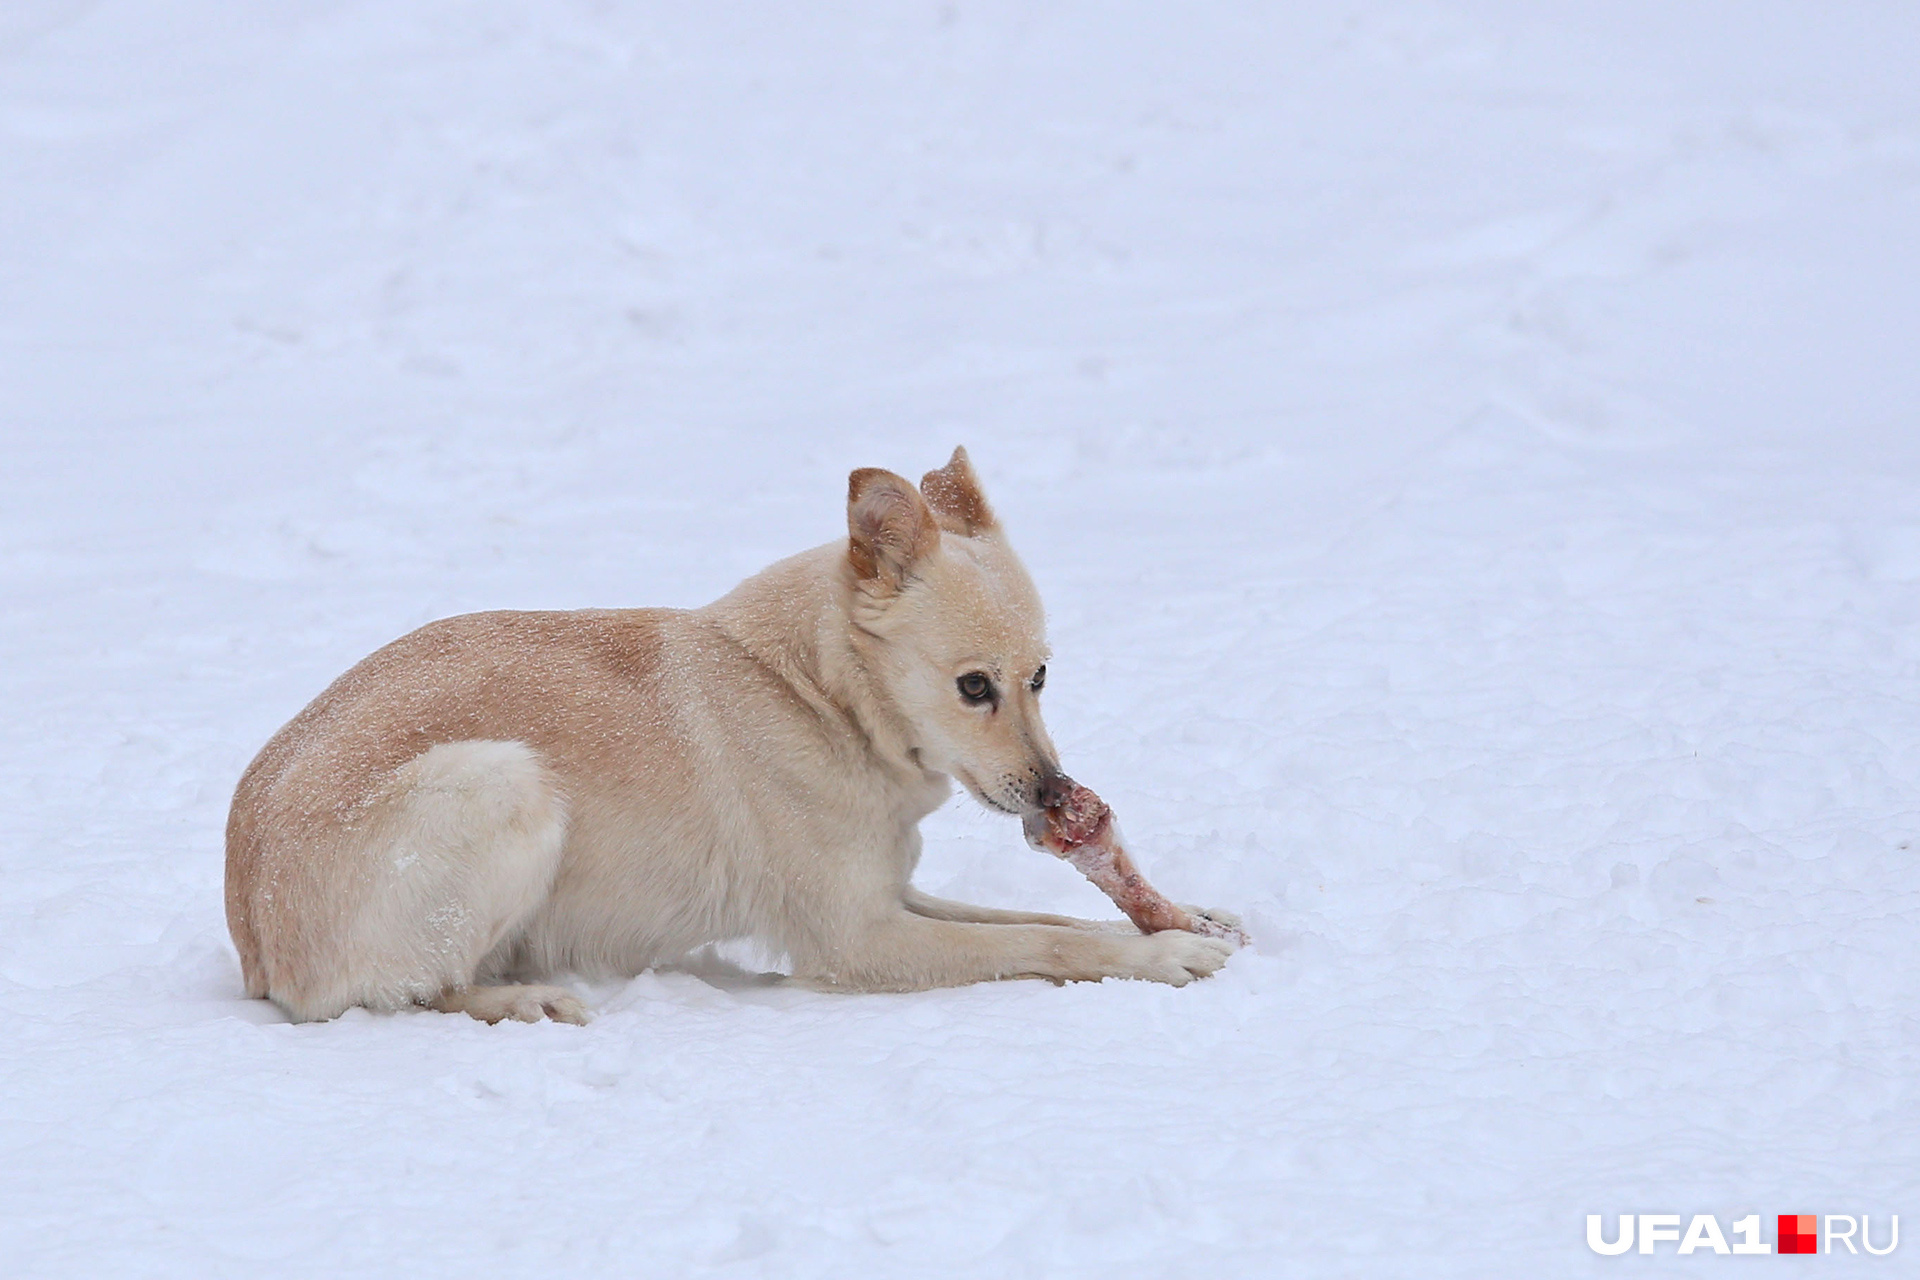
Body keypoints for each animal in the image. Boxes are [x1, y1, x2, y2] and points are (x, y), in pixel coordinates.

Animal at [224, 445, 1236, 1028]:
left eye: (1041, 677)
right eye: (973, 687)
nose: (1058, 796)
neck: (819, 693)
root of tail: (251, 944)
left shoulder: (888, 892)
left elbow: (1048, 920)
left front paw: (1188, 916)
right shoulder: (856, 939)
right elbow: (1048, 943)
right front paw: (1160, 956)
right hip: (502, 781)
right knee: (405, 994)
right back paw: (522, 998)